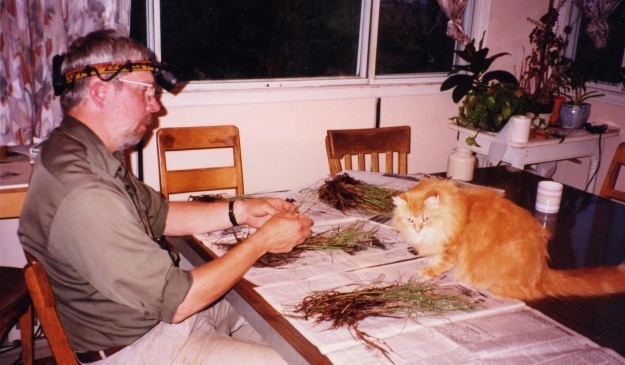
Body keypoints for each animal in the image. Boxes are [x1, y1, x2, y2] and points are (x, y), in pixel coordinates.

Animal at [392, 178, 624, 300]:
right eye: (410, 220)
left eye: (426, 219)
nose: (418, 230)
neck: (457, 212)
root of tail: (542, 273)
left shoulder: (451, 248)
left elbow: (440, 263)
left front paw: (428, 270)